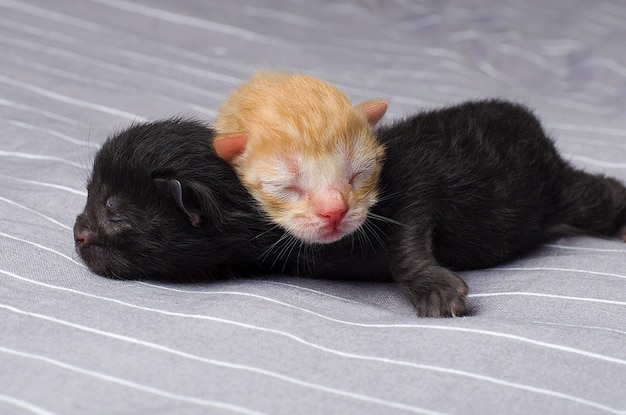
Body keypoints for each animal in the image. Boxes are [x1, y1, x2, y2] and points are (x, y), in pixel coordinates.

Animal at [74, 101, 624, 318]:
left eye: (114, 209)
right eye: (91, 194)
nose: (77, 232)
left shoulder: (409, 188)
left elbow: (408, 237)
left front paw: (437, 291)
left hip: (551, 189)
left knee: (596, 196)